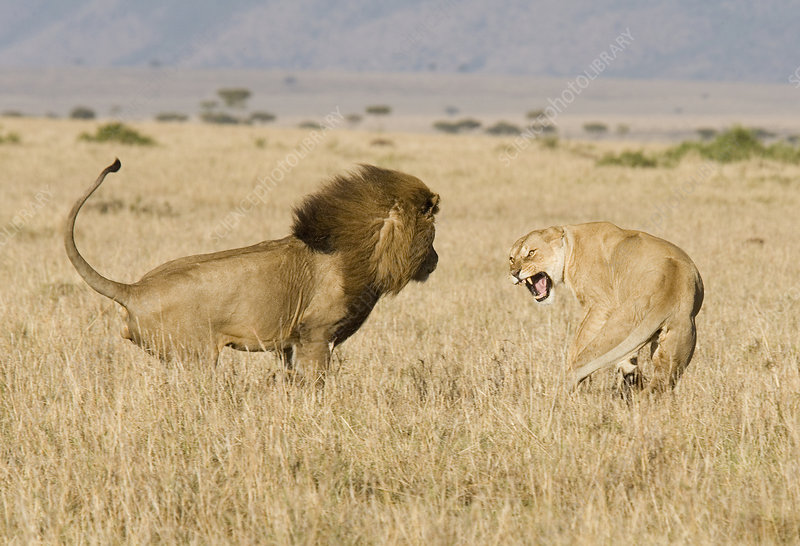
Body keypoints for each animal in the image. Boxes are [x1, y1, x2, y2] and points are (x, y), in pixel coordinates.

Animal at [65, 159, 440, 385]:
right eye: (433, 235)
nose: (436, 260)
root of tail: (132, 289)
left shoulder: (290, 342)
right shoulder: (315, 335)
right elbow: (316, 382)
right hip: (195, 358)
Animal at [509, 222, 703, 394]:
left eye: (531, 253)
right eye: (511, 259)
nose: (514, 273)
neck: (571, 243)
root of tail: (668, 292)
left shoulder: (600, 304)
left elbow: (578, 340)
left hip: (615, 330)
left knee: (579, 363)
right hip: (672, 349)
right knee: (656, 388)